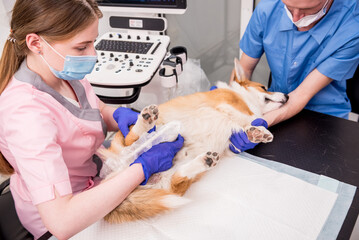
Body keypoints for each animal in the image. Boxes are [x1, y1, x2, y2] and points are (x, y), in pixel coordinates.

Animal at [98, 58, 290, 223]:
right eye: (264, 87)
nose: (288, 96)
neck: (242, 96)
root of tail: (117, 170)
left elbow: (244, 130)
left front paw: (256, 134)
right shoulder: (231, 105)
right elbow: (246, 118)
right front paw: (258, 128)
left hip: (172, 179)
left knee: (178, 178)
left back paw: (205, 161)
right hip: (133, 139)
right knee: (133, 139)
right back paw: (146, 119)